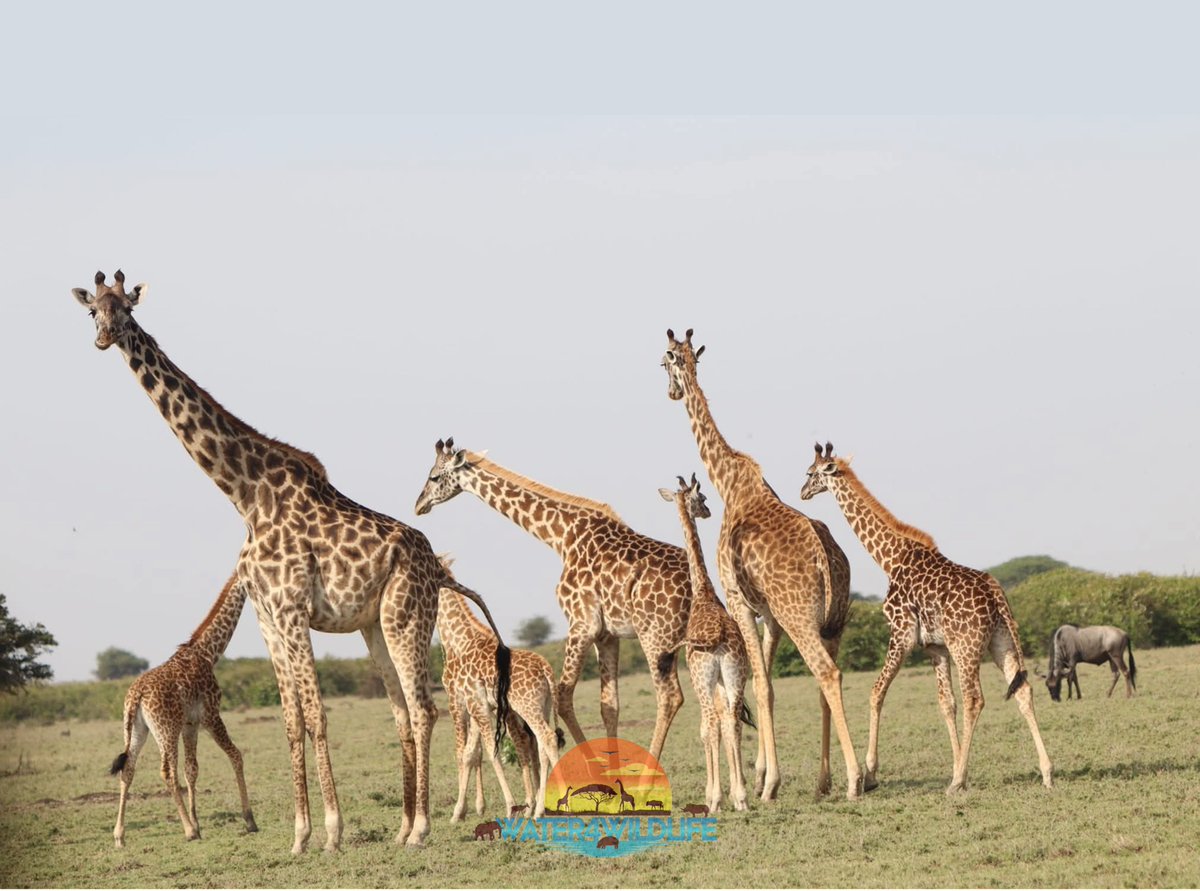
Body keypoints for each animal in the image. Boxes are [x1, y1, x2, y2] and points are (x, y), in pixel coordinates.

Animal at [108, 572, 257, 848]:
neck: (208, 652)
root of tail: (136, 696)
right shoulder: (210, 715)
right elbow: (236, 755)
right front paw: (249, 821)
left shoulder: (190, 724)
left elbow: (192, 769)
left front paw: (198, 823)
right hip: (166, 730)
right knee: (167, 771)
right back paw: (187, 830)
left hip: (136, 729)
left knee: (129, 768)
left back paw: (119, 836)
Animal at [415, 437, 691, 761]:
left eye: (434, 476)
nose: (418, 504)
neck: (560, 537)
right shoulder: (606, 635)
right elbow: (609, 705)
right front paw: (610, 765)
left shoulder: (581, 624)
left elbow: (563, 696)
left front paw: (593, 765)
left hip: (655, 637)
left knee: (669, 696)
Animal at [435, 556, 561, 820]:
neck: (457, 643)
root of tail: (546, 668)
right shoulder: (478, 704)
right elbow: (472, 753)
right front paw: (465, 809)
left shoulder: (459, 702)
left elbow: (471, 752)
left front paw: (506, 806)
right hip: (542, 706)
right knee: (540, 743)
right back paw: (539, 809)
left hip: (527, 706)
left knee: (546, 738)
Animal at [658, 473, 750, 813]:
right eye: (703, 499)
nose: (708, 511)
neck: (704, 594)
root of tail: (718, 639)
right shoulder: (727, 681)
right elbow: (728, 725)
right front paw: (735, 794)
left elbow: (706, 730)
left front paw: (714, 796)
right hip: (735, 674)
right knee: (732, 721)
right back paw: (741, 798)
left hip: (702, 678)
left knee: (710, 724)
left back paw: (716, 800)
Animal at [800, 442, 1054, 793]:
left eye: (811, 473)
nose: (801, 492)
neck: (889, 557)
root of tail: (996, 593)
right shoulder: (936, 647)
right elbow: (946, 704)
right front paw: (959, 766)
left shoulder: (901, 634)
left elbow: (876, 693)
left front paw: (872, 773)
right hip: (1000, 642)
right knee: (1023, 691)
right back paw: (1046, 773)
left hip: (967, 646)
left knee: (976, 699)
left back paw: (955, 783)